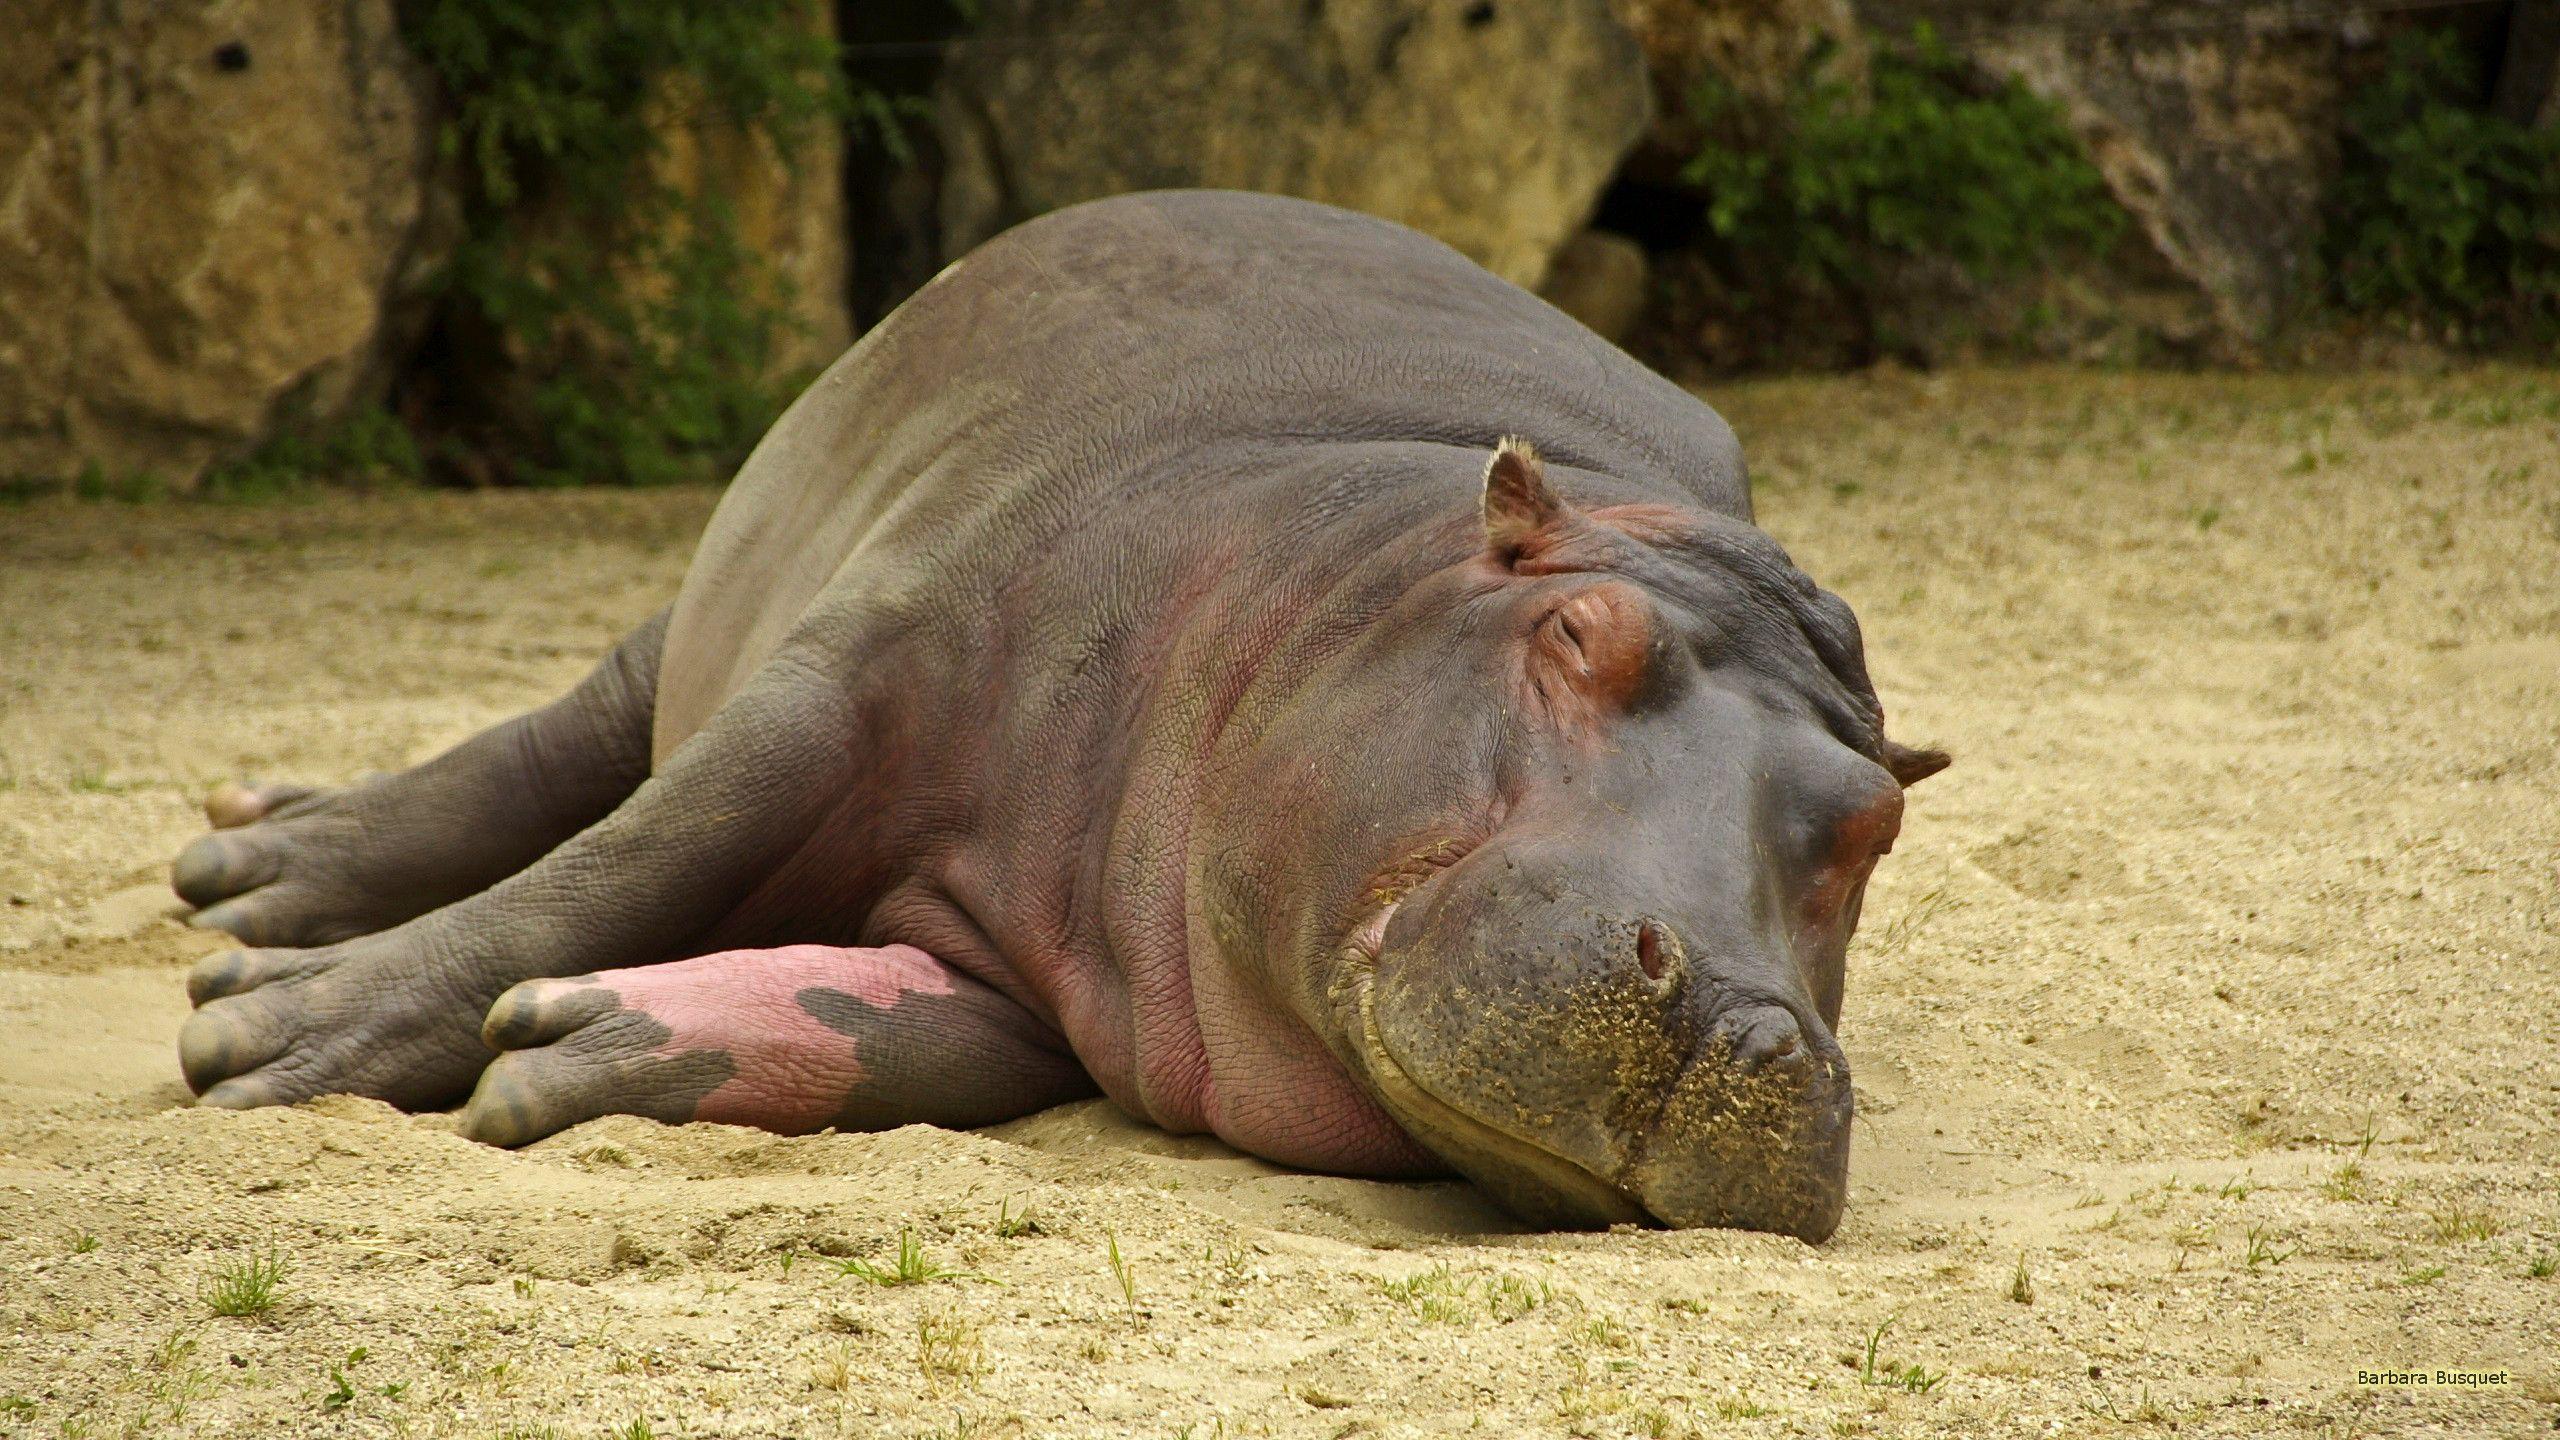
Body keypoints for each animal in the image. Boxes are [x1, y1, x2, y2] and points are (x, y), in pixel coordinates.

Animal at [171, 191, 1944, 1241]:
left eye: (1879, 822)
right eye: (1580, 631)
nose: (1748, 1025)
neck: (1362, 557)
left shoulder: (1068, 952)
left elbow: (910, 1028)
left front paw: (566, 1045)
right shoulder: (852, 671)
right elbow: (610, 866)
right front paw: (252, 1042)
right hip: (714, 604)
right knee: (573, 749)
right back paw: (247, 866)